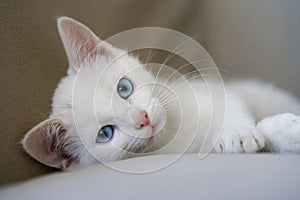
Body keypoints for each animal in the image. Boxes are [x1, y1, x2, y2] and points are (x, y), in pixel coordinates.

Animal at [22, 16, 300, 169]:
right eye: (105, 134)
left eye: (124, 88)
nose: (142, 118)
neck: (175, 129)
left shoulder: (211, 91)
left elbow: (232, 105)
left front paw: (240, 131)